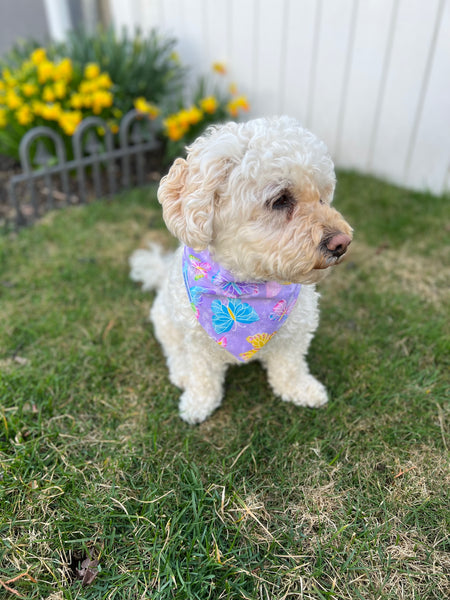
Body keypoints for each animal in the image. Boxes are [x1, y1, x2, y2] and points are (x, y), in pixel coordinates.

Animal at [129, 117, 352, 424]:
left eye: (322, 197)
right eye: (280, 199)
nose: (342, 243)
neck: (246, 284)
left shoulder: (296, 333)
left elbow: (290, 366)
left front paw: (300, 389)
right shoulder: (197, 341)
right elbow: (203, 376)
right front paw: (198, 404)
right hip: (165, 319)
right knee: (174, 350)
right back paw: (182, 372)